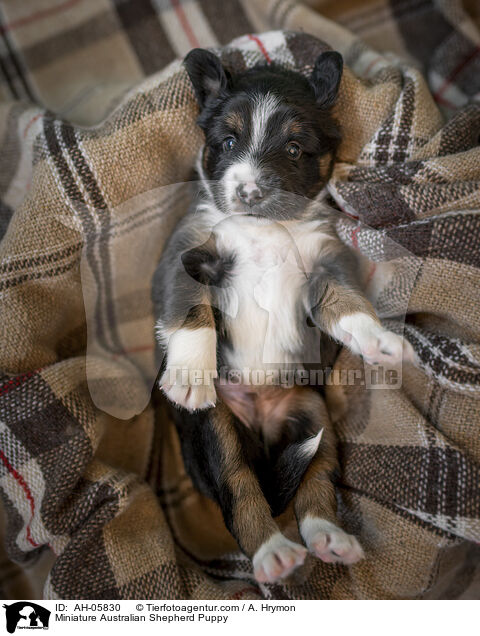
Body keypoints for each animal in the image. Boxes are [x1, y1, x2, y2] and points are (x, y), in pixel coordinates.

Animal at [152, 48, 414, 588]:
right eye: (229, 142)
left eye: (294, 149)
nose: (249, 191)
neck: (266, 228)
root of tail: (262, 420)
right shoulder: (186, 253)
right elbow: (192, 313)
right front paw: (188, 376)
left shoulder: (325, 265)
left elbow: (349, 305)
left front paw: (382, 341)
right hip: (218, 430)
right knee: (242, 492)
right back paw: (274, 553)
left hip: (315, 420)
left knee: (315, 485)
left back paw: (329, 540)